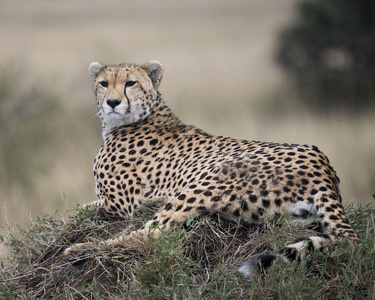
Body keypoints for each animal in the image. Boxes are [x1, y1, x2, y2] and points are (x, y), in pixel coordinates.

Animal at [63, 59, 360, 278]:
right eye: (104, 83)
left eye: (130, 83)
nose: (112, 102)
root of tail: (324, 166)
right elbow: (81, 207)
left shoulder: (118, 205)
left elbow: (78, 210)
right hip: (287, 217)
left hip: (210, 178)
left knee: (151, 236)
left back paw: (79, 250)